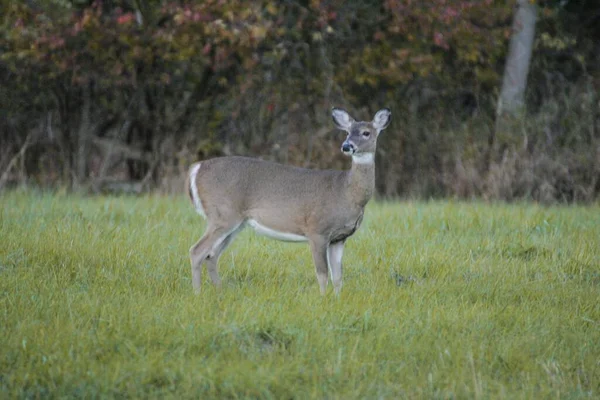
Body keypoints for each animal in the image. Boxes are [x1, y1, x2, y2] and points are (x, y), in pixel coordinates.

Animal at [188, 108, 394, 296]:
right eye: (348, 132)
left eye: (366, 132)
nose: (346, 146)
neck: (347, 192)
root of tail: (197, 169)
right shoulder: (317, 230)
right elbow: (322, 274)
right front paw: (323, 299)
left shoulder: (339, 238)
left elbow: (338, 276)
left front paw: (337, 300)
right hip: (223, 214)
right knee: (197, 251)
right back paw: (198, 294)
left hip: (235, 223)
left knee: (212, 255)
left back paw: (219, 291)